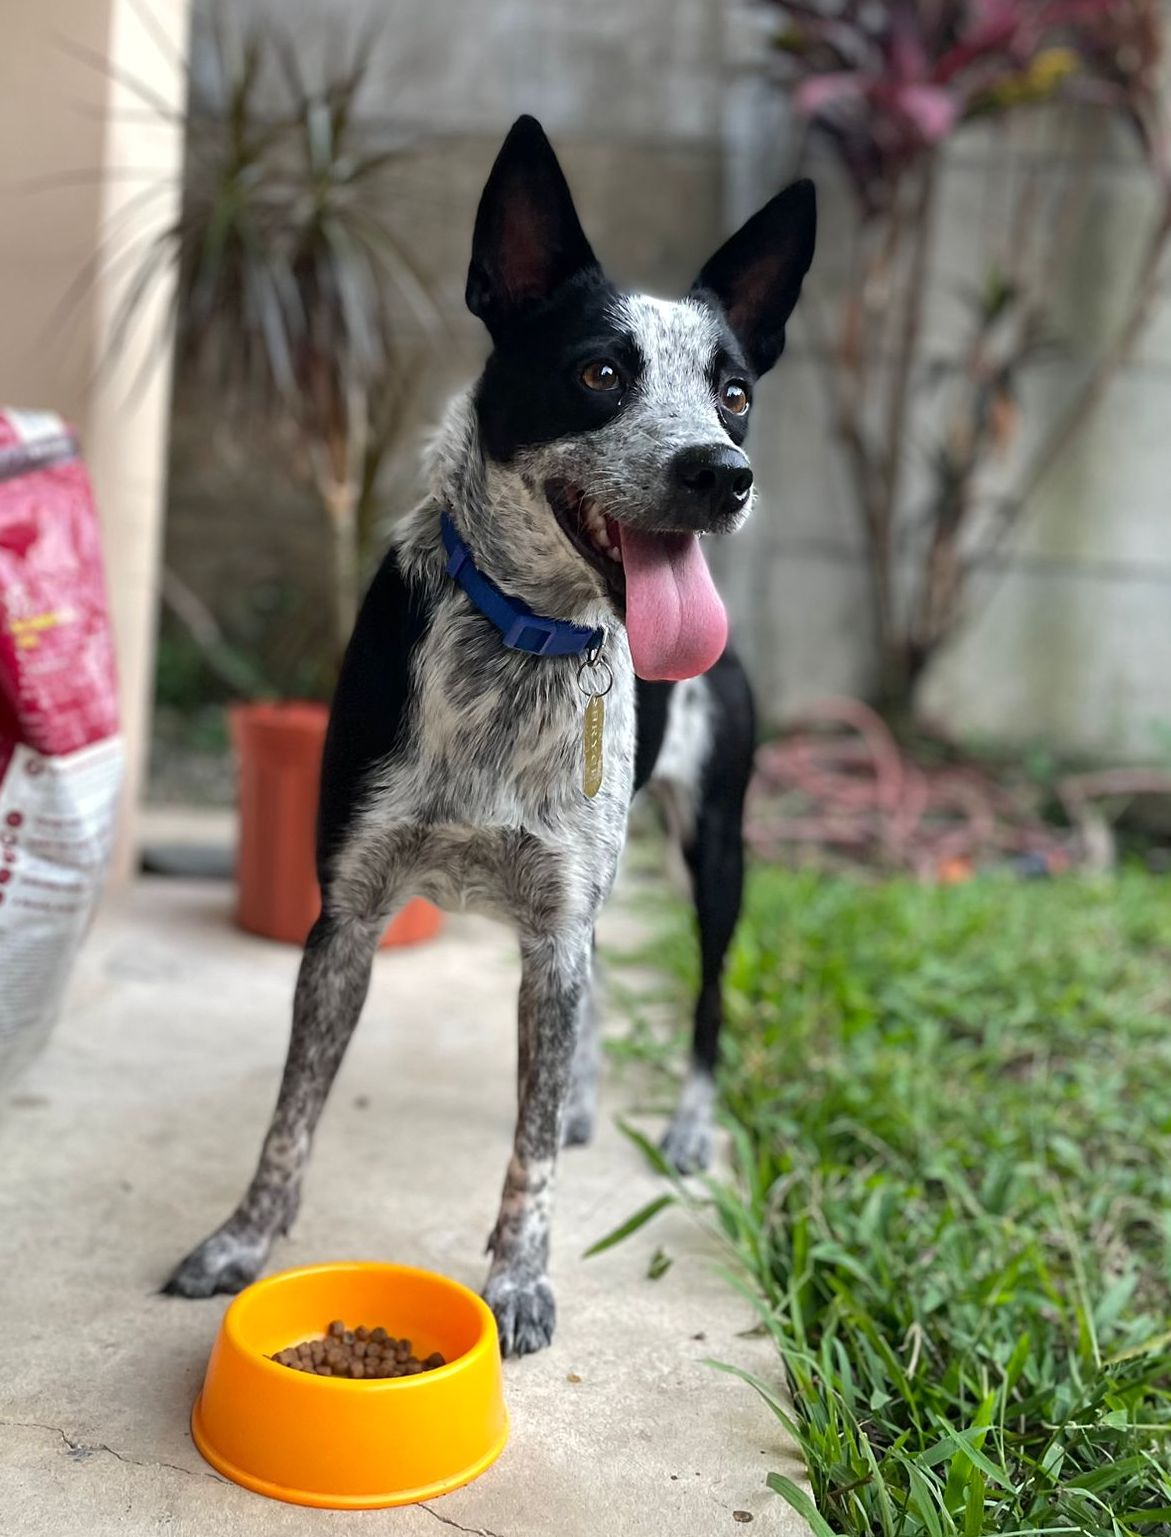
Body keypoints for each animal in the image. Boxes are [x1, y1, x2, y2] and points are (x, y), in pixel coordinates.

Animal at [164, 116, 811, 1358]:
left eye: (734, 392)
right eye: (599, 371)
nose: (725, 473)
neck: (523, 640)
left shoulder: (555, 928)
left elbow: (527, 1153)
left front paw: (517, 1278)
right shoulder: (348, 916)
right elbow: (292, 1113)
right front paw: (239, 1241)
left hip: (717, 852)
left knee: (705, 994)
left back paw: (683, 1126)